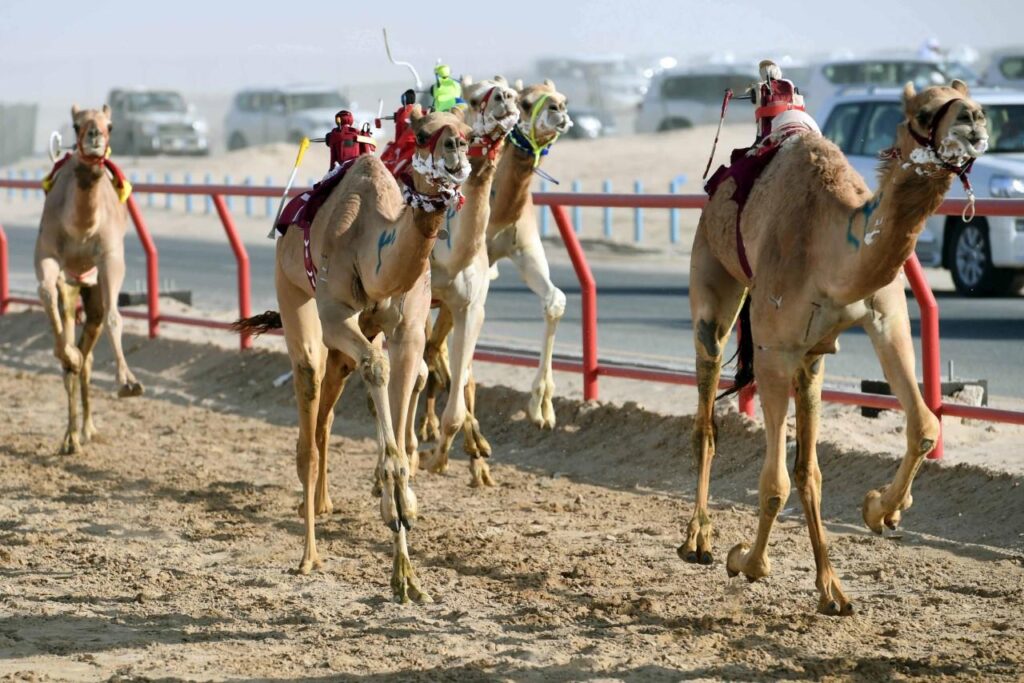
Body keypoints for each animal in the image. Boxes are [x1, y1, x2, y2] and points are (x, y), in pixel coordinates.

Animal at [33, 105, 143, 454]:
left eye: (111, 124)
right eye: (76, 124)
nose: (94, 137)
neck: (81, 227)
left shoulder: (111, 259)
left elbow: (114, 317)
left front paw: (128, 382)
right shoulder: (47, 255)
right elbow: (46, 293)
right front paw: (67, 354)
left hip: (91, 288)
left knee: (92, 346)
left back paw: (88, 430)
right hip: (72, 286)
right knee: (75, 350)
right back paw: (71, 438)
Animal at [234, 107, 471, 602]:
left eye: (467, 133)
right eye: (423, 134)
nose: (454, 151)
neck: (370, 244)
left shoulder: (407, 330)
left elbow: (403, 389)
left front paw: (406, 569)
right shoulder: (336, 313)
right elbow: (376, 369)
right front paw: (394, 506)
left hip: (354, 340)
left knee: (329, 408)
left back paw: (331, 504)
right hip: (294, 295)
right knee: (308, 402)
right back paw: (308, 555)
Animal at [415, 76, 524, 485]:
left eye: (515, 95)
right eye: (478, 97)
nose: (504, 98)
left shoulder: (471, 306)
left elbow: (458, 397)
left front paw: (443, 457)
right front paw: (424, 457)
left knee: (457, 371)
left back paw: (477, 458)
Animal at [684, 77, 987, 618]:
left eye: (975, 103)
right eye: (923, 111)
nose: (972, 121)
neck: (831, 249)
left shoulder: (886, 318)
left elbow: (924, 426)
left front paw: (880, 512)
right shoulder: (774, 350)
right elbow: (773, 483)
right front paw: (746, 562)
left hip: (812, 361)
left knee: (809, 467)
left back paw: (829, 585)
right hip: (713, 287)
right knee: (707, 415)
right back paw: (698, 539)